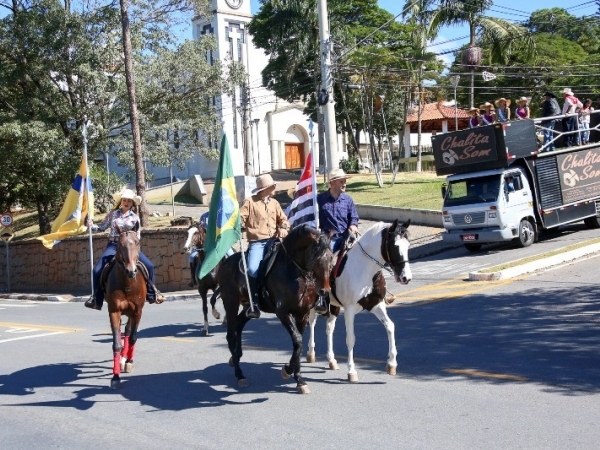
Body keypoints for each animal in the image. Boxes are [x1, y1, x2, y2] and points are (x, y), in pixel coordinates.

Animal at [105, 227, 148, 388]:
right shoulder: (114, 311)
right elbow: (116, 343)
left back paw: (126, 359)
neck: (127, 284)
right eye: (119, 244)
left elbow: (134, 337)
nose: (131, 271)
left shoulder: (138, 311)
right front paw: (115, 377)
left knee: (129, 332)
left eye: (137, 242)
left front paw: (129, 361)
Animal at [218, 225, 336, 394]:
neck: (294, 272)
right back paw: (239, 374)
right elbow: (298, 340)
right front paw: (287, 371)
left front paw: (299, 380)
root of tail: (225, 263)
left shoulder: (303, 313)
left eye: (331, 257)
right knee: (230, 335)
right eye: (315, 254)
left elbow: (299, 344)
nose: (325, 291)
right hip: (230, 303)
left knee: (239, 326)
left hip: (248, 308)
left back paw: (237, 358)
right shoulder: (283, 312)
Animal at [308, 220, 410, 382]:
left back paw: (332, 360)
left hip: (334, 306)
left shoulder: (377, 304)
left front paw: (392, 364)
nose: (406, 277)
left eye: (408, 245)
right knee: (312, 323)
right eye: (395, 246)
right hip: (313, 304)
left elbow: (390, 326)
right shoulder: (349, 310)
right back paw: (311, 354)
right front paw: (351, 371)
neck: (365, 270)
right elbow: (350, 339)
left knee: (329, 328)